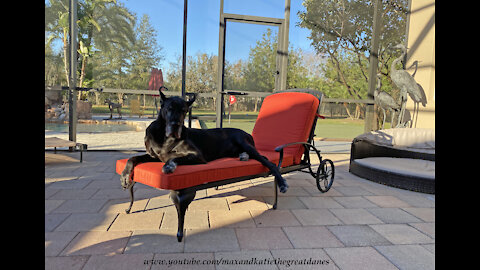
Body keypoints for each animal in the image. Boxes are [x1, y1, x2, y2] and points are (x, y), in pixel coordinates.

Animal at [119, 92, 286, 193]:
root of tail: (247, 133)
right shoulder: (154, 155)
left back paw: (282, 183)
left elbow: (174, 157)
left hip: (244, 142)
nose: (175, 125)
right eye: (169, 108)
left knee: (267, 161)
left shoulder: (197, 155)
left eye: (184, 110)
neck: (165, 138)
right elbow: (133, 158)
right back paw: (243, 157)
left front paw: (169, 165)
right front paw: (125, 175)